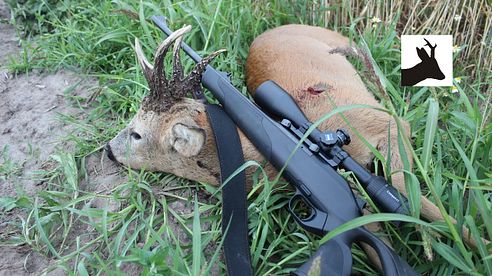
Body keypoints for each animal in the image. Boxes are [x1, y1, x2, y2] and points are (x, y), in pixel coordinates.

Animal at [106, 24, 484, 251]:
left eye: (136, 133)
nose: (108, 149)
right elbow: (378, 230)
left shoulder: (387, 124)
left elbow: (409, 192)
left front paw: (470, 244)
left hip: (342, 44)